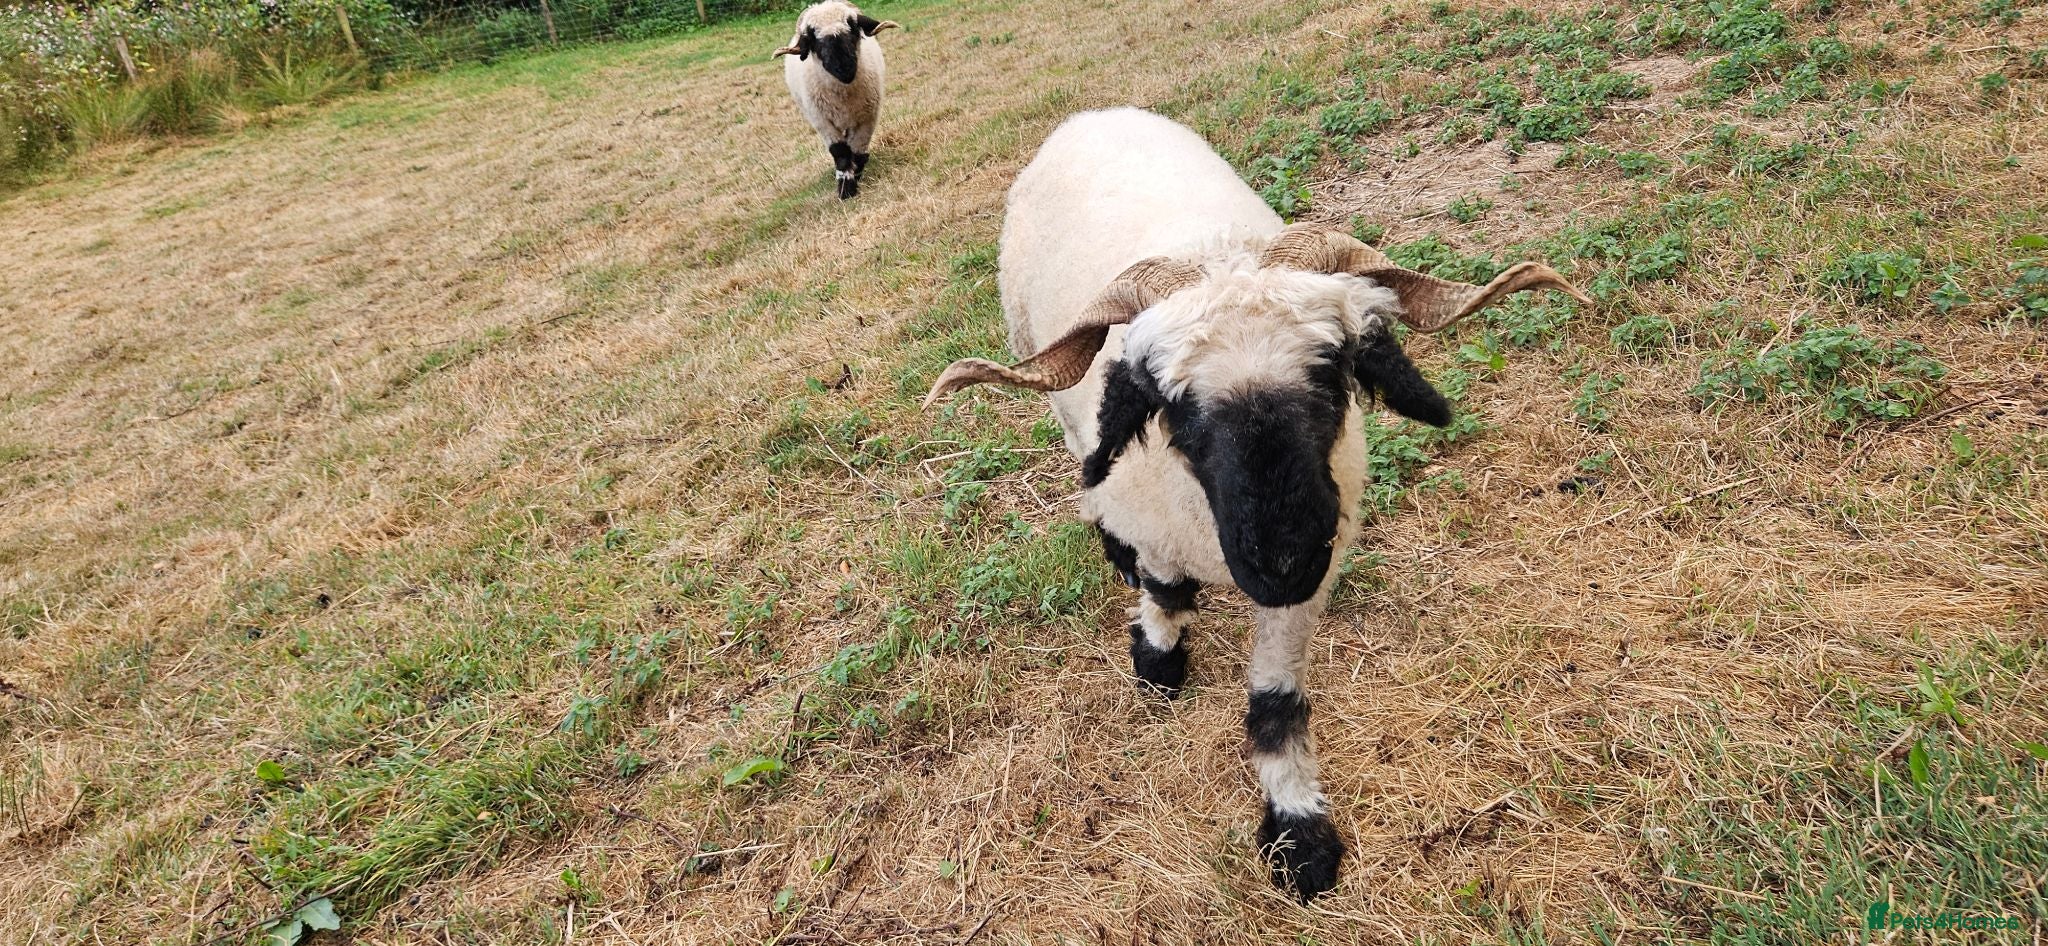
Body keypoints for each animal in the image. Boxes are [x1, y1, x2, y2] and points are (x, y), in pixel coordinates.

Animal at [774, 1, 898, 200]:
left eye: (853, 27)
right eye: (813, 38)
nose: (844, 67)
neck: (843, 95)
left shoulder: (868, 117)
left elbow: (858, 151)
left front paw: (855, 176)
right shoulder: (822, 122)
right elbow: (841, 152)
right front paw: (845, 189)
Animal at [924, 108, 1588, 901]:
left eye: (1334, 369)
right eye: (1170, 402)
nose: (1280, 557)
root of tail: (1097, 114)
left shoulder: (1312, 577)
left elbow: (1277, 698)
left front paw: (1299, 832)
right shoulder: (1156, 520)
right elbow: (1163, 588)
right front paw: (1158, 657)